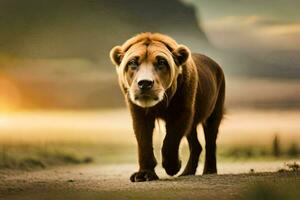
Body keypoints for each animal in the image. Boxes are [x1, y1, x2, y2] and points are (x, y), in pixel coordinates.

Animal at [109, 32, 225, 182]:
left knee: (210, 141)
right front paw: (144, 174)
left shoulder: (182, 111)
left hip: (214, 111)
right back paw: (187, 172)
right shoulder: (139, 113)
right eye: (133, 62)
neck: (159, 104)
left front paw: (173, 166)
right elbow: (144, 142)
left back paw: (209, 171)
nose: (145, 83)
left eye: (161, 62)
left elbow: (171, 140)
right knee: (196, 146)